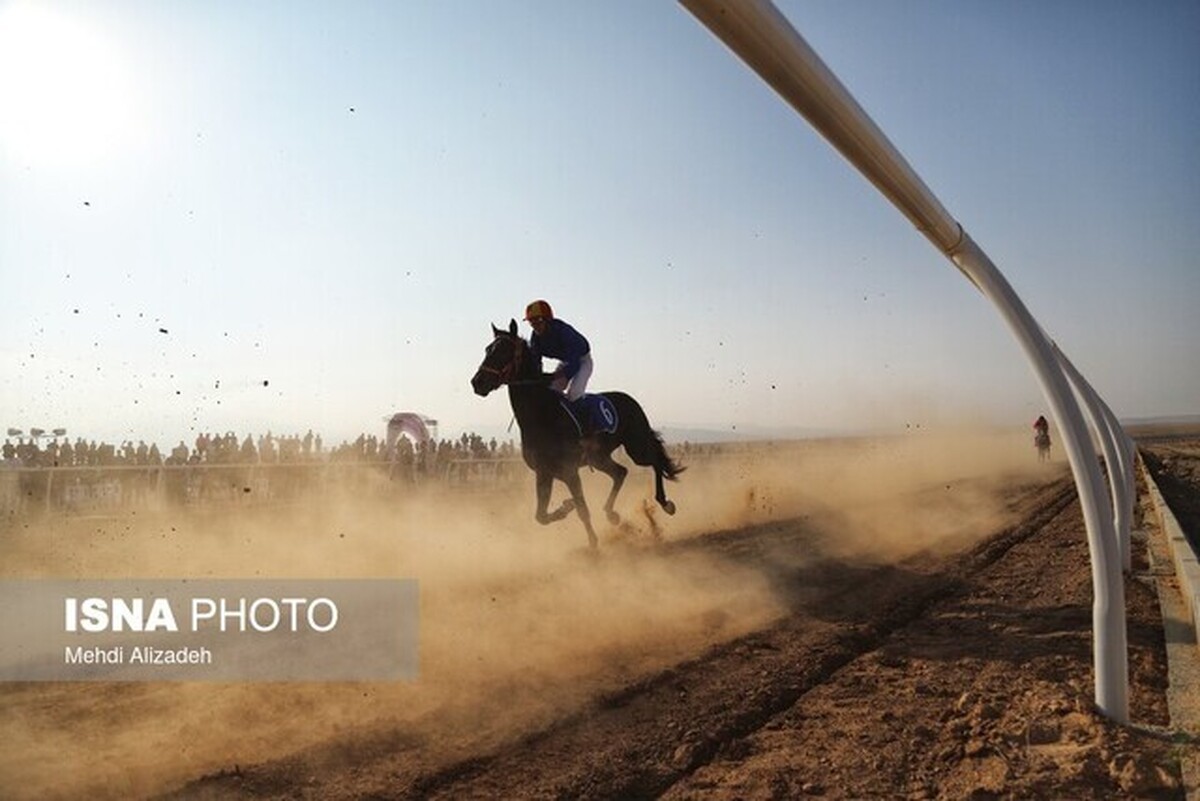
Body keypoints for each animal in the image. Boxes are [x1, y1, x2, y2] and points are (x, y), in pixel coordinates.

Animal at [472, 321, 691, 546]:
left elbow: (582, 510)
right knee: (621, 472)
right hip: (599, 458)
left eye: (503, 351)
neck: (542, 415)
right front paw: (566, 506)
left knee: (655, 461)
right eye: (488, 349)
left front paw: (593, 544)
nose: (477, 382)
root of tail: (630, 399)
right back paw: (612, 513)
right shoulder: (544, 472)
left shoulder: (570, 471)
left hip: (636, 447)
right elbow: (541, 516)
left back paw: (665, 503)